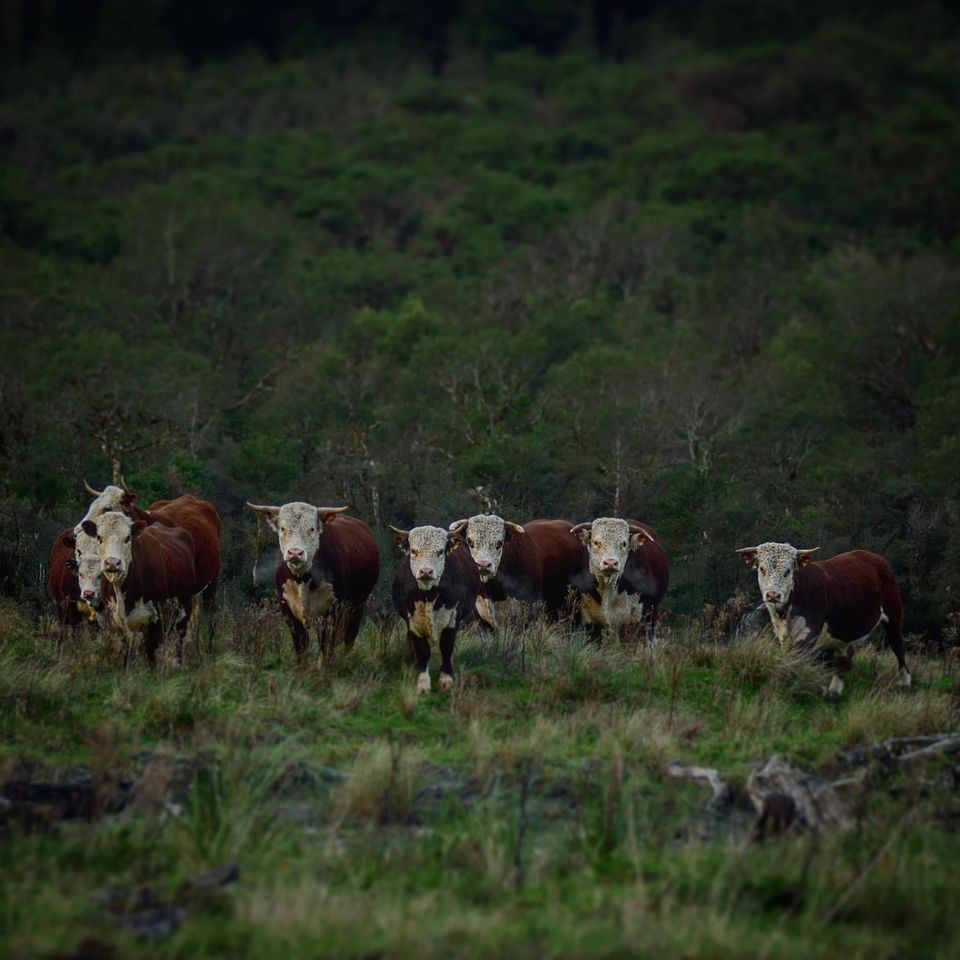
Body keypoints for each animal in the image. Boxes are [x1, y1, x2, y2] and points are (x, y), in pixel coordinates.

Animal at [80, 511, 197, 665]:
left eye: (127, 537)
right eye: (99, 537)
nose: (112, 562)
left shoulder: (157, 618)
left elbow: (152, 652)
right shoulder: (115, 624)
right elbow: (124, 654)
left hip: (184, 607)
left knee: (179, 638)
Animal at [246, 502, 380, 664]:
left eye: (311, 528)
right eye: (283, 528)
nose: (295, 552)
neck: (302, 579)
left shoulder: (331, 612)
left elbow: (326, 649)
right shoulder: (288, 612)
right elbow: (301, 648)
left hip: (358, 605)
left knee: (349, 638)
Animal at [390, 525, 481, 693]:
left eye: (440, 551)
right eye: (414, 551)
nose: (426, 571)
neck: (429, 595)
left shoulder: (452, 618)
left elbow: (446, 647)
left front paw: (446, 680)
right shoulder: (413, 621)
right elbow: (423, 651)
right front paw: (423, 683)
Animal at [446, 514, 583, 625]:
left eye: (499, 543)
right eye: (470, 541)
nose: (483, 565)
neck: (494, 591)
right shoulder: (482, 620)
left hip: (574, 603)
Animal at [735, 542, 910, 700]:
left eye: (788, 571)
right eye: (762, 569)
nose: (773, 595)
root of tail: (873, 556)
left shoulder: (807, 636)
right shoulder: (784, 637)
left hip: (894, 614)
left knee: (898, 646)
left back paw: (905, 682)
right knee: (845, 658)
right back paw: (833, 693)